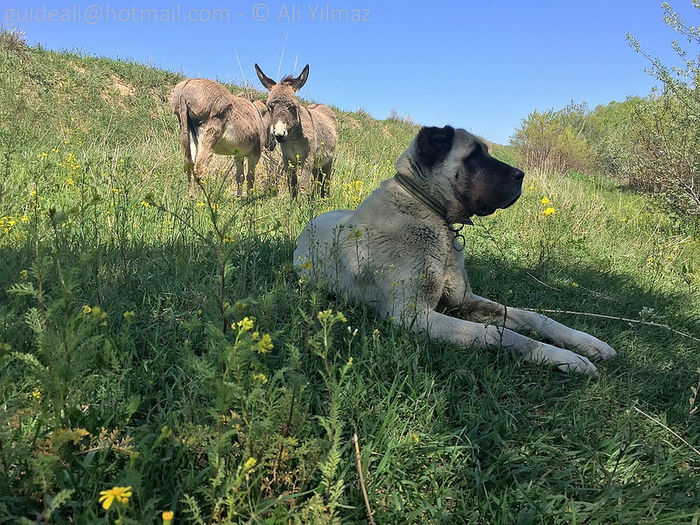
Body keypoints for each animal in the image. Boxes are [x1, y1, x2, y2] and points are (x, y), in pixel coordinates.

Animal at [292, 125, 616, 374]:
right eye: (474, 157)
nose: (521, 175)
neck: (429, 212)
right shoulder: (414, 315)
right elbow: (502, 334)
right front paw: (564, 357)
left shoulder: (464, 301)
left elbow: (533, 316)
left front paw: (588, 343)